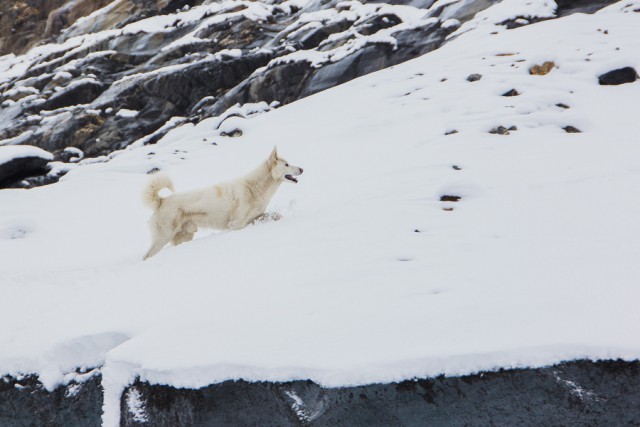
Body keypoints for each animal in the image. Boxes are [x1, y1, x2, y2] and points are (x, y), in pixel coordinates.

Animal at [144, 147, 304, 260]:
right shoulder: (236, 225)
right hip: (163, 238)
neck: (253, 188)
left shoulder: (252, 218)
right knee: (146, 256)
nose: (302, 169)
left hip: (184, 236)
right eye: (287, 164)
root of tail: (161, 201)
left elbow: (274, 215)